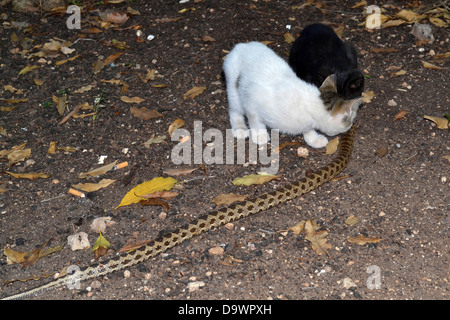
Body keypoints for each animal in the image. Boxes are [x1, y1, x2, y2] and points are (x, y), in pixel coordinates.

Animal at [222, 40, 362, 149]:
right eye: (350, 121)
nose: (351, 126)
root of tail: (241, 46)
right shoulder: (252, 103)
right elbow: (255, 121)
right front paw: (259, 134)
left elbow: (308, 130)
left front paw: (313, 139)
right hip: (234, 90)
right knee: (234, 110)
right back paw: (240, 127)